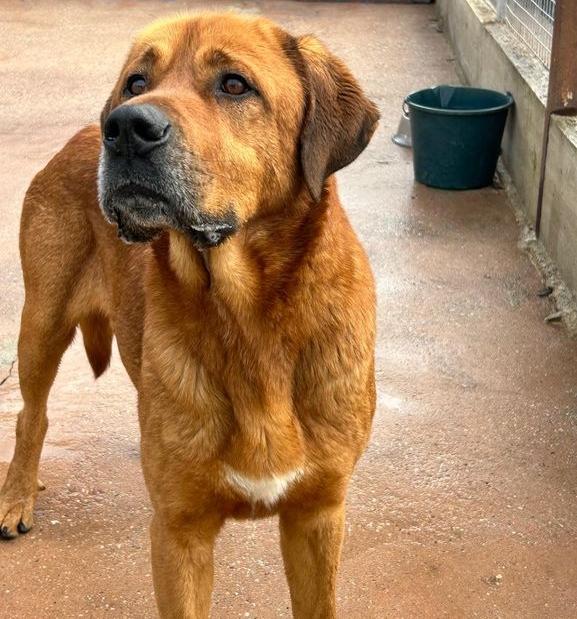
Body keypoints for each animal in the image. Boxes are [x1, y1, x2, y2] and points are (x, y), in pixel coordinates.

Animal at [0, 13, 378, 617]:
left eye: (234, 84)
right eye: (136, 81)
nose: (126, 128)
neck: (247, 317)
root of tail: (79, 135)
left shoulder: (317, 518)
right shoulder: (180, 534)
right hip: (42, 322)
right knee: (30, 415)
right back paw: (17, 494)